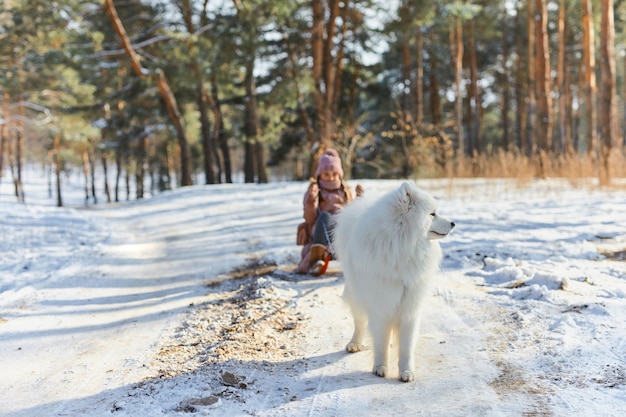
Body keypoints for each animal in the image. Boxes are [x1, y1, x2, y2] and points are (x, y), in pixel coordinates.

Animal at [334, 180, 450, 382]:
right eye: (432, 214)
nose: (453, 223)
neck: (403, 247)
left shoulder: (410, 307)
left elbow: (406, 346)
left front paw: (407, 371)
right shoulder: (380, 305)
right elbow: (380, 341)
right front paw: (380, 367)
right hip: (358, 297)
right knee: (360, 323)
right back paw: (354, 343)